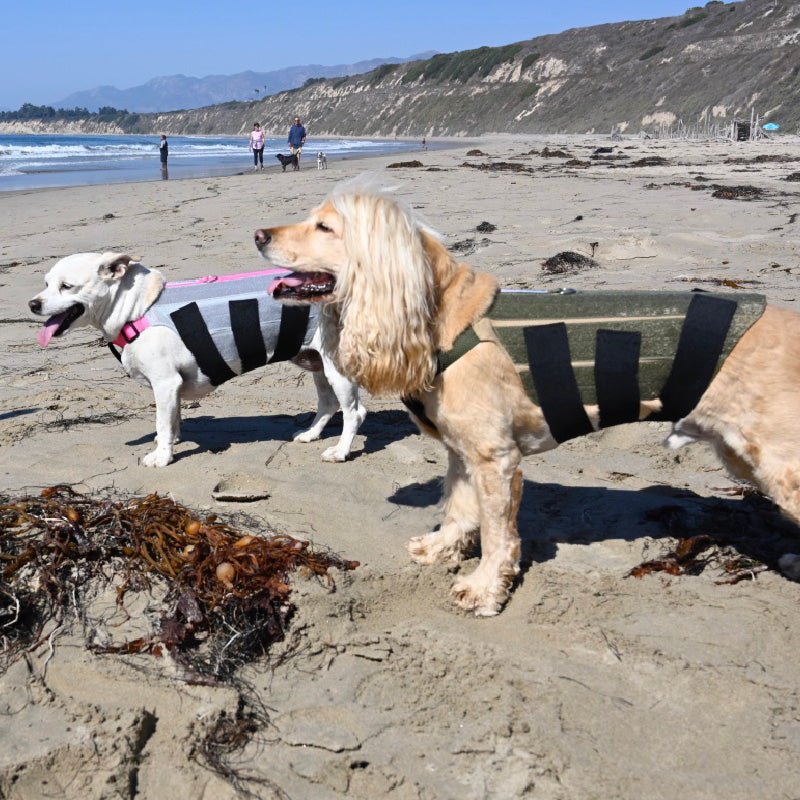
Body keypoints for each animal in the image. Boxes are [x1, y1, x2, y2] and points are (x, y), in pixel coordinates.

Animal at [29, 253, 368, 466]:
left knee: (355, 413)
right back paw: (311, 434)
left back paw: (340, 451)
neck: (135, 309)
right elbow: (172, 420)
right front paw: (169, 443)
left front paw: (161, 456)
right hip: (315, 362)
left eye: (66, 287)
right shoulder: (173, 388)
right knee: (329, 404)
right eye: (45, 284)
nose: (33, 304)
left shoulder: (165, 383)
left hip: (336, 369)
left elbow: (162, 422)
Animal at [256, 184, 800, 616]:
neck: (442, 318)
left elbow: (498, 534)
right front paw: (441, 548)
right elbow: (459, 507)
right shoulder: (463, 452)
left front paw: (483, 589)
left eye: (325, 226)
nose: (258, 235)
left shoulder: (496, 459)